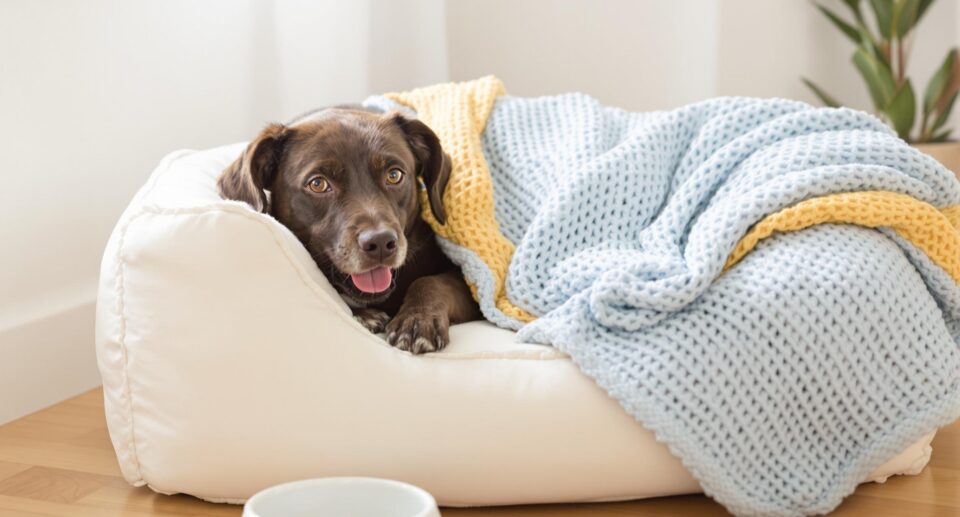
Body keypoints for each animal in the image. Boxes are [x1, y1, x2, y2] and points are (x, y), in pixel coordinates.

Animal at [222, 107, 484, 352]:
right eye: (318, 184)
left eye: (394, 175)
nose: (380, 243)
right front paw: (364, 316)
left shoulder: (469, 290)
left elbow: (432, 282)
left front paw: (417, 319)